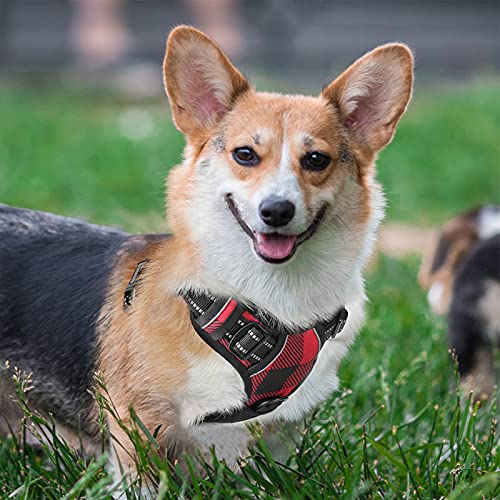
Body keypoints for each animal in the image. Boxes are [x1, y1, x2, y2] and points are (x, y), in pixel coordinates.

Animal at [0, 27, 414, 480]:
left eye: (316, 159)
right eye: (245, 154)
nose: (276, 210)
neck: (268, 300)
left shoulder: (281, 434)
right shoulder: (139, 421)